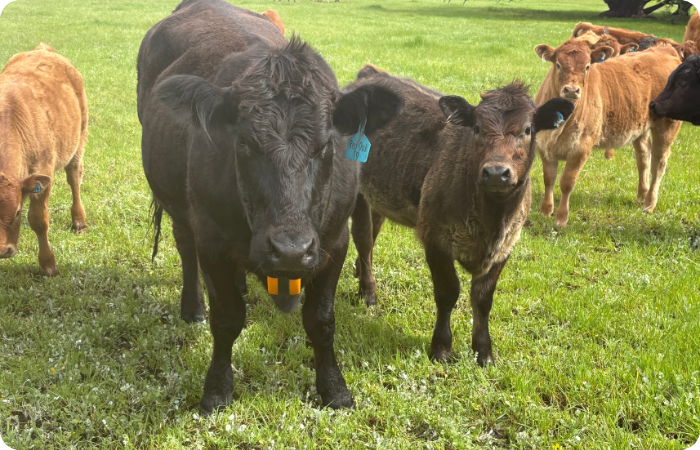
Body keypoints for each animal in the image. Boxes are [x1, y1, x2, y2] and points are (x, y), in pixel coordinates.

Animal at [0, 43, 88, 276]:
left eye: (18, 212)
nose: (2, 250)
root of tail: (43, 48)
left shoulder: (43, 174)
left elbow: (39, 220)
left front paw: (49, 265)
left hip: (79, 141)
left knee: (74, 179)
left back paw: (79, 222)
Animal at [137, 0, 402, 414]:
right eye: (244, 143)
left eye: (326, 144)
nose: (290, 249)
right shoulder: (211, 237)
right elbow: (227, 319)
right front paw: (216, 390)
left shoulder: (334, 240)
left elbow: (322, 320)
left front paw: (335, 389)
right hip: (178, 205)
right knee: (184, 248)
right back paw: (192, 307)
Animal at [348, 64, 573, 366]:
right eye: (477, 128)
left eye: (528, 130)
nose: (496, 173)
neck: (493, 219)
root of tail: (370, 73)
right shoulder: (435, 238)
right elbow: (447, 293)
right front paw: (442, 348)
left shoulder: (506, 246)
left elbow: (483, 299)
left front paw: (483, 351)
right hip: (358, 192)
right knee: (362, 238)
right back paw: (368, 292)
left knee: (372, 237)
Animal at [534, 39, 682, 226]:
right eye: (558, 65)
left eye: (587, 66)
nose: (572, 90)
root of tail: (664, 49)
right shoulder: (543, 144)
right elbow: (549, 178)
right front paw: (546, 211)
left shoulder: (581, 147)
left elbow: (567, 182)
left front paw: (561, 218)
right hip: (640, 127)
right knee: (643, 158)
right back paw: (641, 196)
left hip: (667, 127)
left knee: (659, 163)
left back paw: (649, 204)